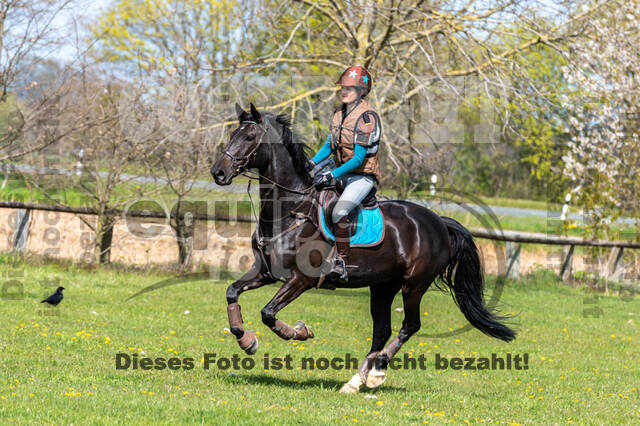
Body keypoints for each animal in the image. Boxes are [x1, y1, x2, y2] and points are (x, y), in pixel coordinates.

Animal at [211, 102, 516, 392]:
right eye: (233, 134)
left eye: (250, 137)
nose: (218, 173)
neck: (290, 210)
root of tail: (439, 222)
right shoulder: (265, 272)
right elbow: (231, 293)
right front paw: (246, 340)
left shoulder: (302, 279)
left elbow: (268, 313)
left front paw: (300, 332)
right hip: (383, 286)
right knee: (382, 330)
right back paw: (355, 381)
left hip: (414, 284)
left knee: (409, 326)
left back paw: (377, 372)